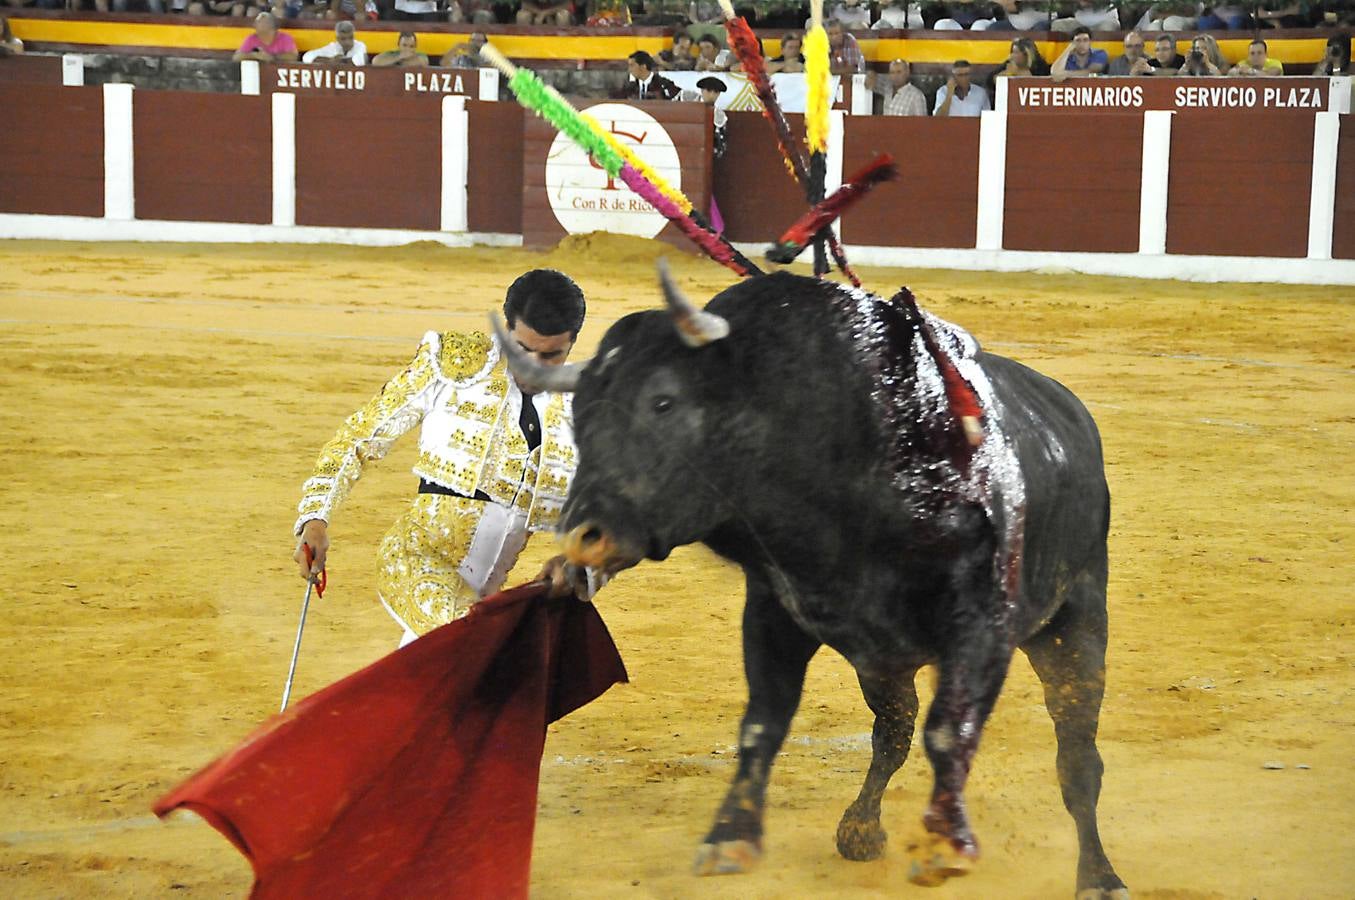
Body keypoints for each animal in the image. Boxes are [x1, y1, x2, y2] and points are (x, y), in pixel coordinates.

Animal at [493, 267, 1127, 900]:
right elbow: (763, 720)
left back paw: (1099, 876)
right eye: (578, 414)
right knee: (894, 729)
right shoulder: (776, 609)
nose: (581, 535)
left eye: (663, 401)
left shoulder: (982, 625)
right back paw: (860, 829)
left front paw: (945, 845)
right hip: (883, 659)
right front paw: (730, 838)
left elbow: (950, 730)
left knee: (1077, 754)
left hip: (1075, 621)